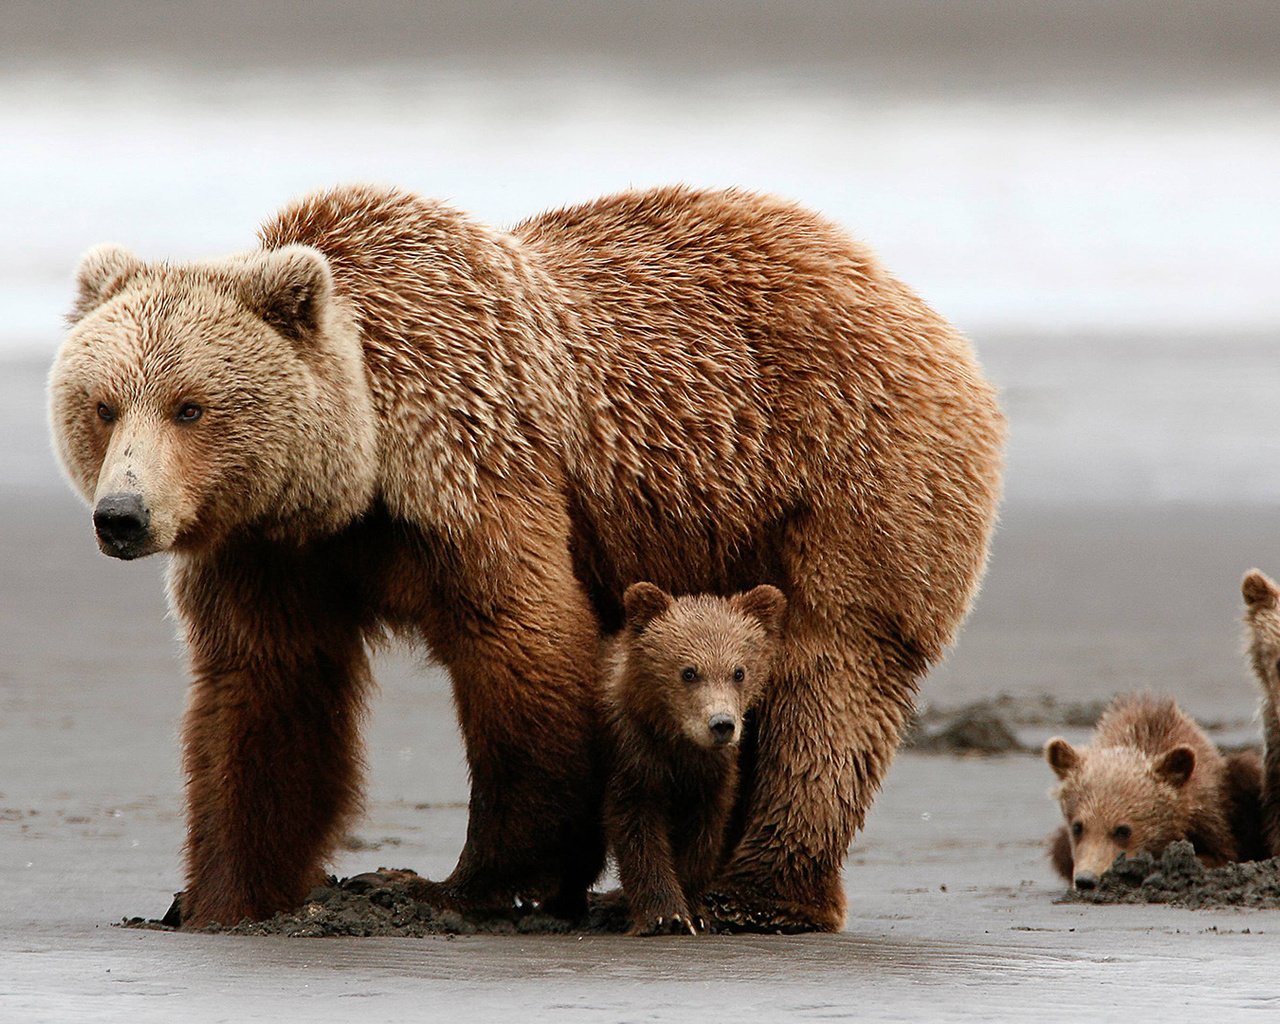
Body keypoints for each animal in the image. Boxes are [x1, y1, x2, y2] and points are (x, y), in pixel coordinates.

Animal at [49, 181, 1003, 926]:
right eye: (102, 403)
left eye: (190, 406)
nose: (123, 516)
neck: (360, 470)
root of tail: (917, 305)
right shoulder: (271, 551)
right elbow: (265, 693)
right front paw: (221, 896)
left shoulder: (475, 470)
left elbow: (524, 647)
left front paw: (466, 883)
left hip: (850, 477)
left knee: (833, 676)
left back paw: (759, 895)